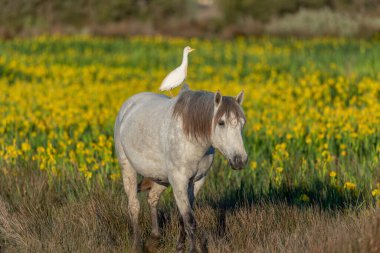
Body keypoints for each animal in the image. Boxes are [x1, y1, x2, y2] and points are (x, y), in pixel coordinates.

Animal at [114, 84, 248, 252]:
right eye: (221, 122)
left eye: (242, 123)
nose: (240, 160)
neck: (191, 138)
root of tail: (129, 104)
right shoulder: (179, 181)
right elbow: (189, 220)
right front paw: (192, 250)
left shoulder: (196, 182)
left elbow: (182, 217)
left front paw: (179, 247)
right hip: (128, 168)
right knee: (134, 206)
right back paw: (137, 245)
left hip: (161, 178)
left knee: (152, 198)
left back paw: (155, 239)